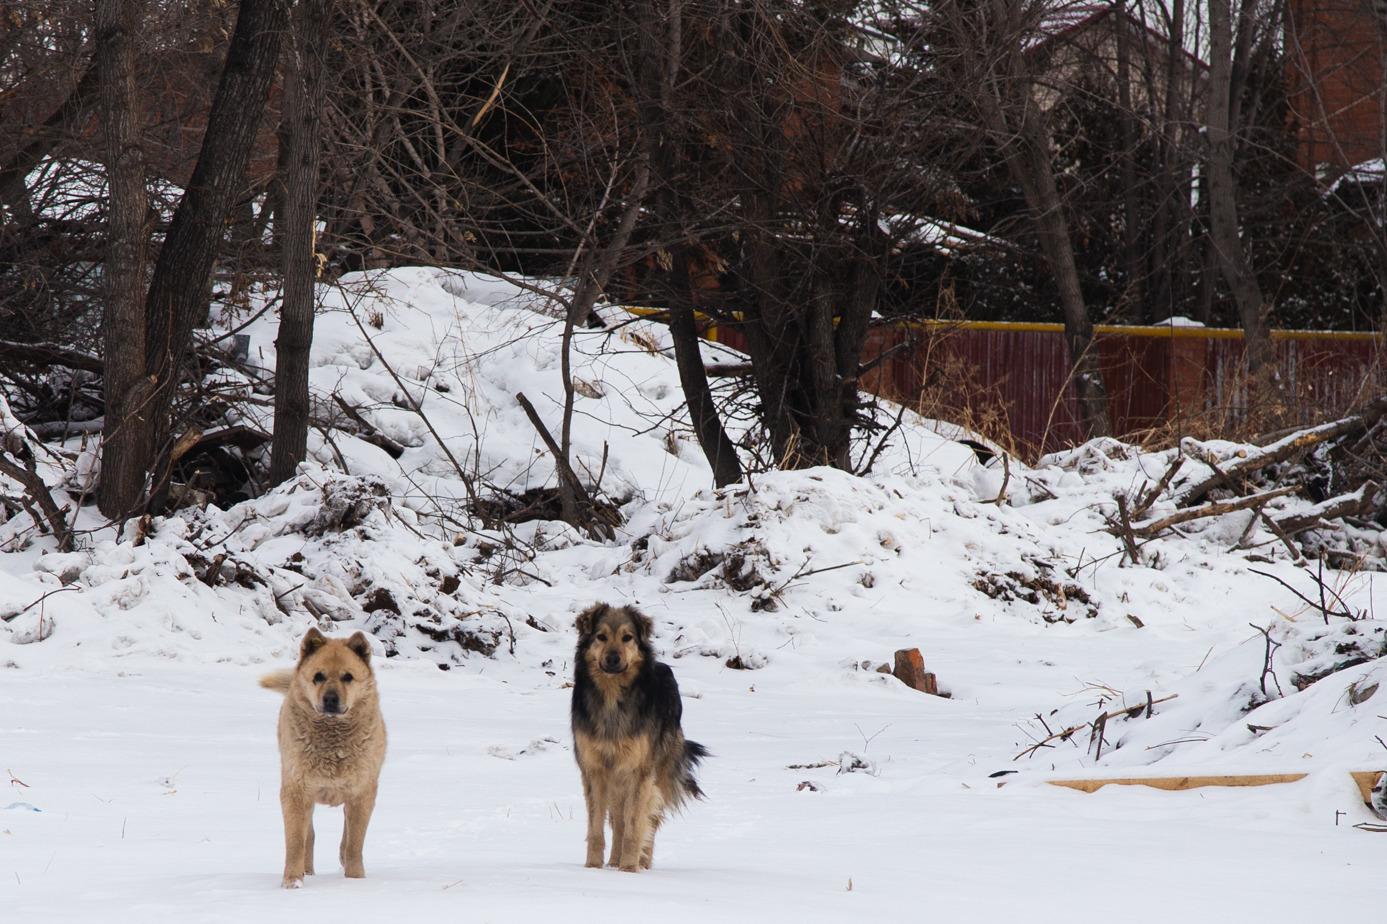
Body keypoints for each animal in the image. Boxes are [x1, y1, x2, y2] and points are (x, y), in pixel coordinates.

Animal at [259, 627, 385, 887]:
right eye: (318, 676)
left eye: (348, 677)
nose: (330, 699)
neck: (332, 739)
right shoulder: (296, 791)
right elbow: (296, 841)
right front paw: (292, 882)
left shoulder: (362, 793)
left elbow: (354, 842)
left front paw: (355, 880)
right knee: (310, 834)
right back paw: (307, 870)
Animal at [571, 602, 710, 865]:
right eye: (601, 637)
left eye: (627, 638)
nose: (613, 659)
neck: (612, 699)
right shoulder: (595, 768)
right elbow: (597, 827)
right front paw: (593, 867)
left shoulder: (639, 769)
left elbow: (635, 824)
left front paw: (629, 868)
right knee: (618, 819)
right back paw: (613, 862)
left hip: (659, 769)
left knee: (649, 819)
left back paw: (641, 863)